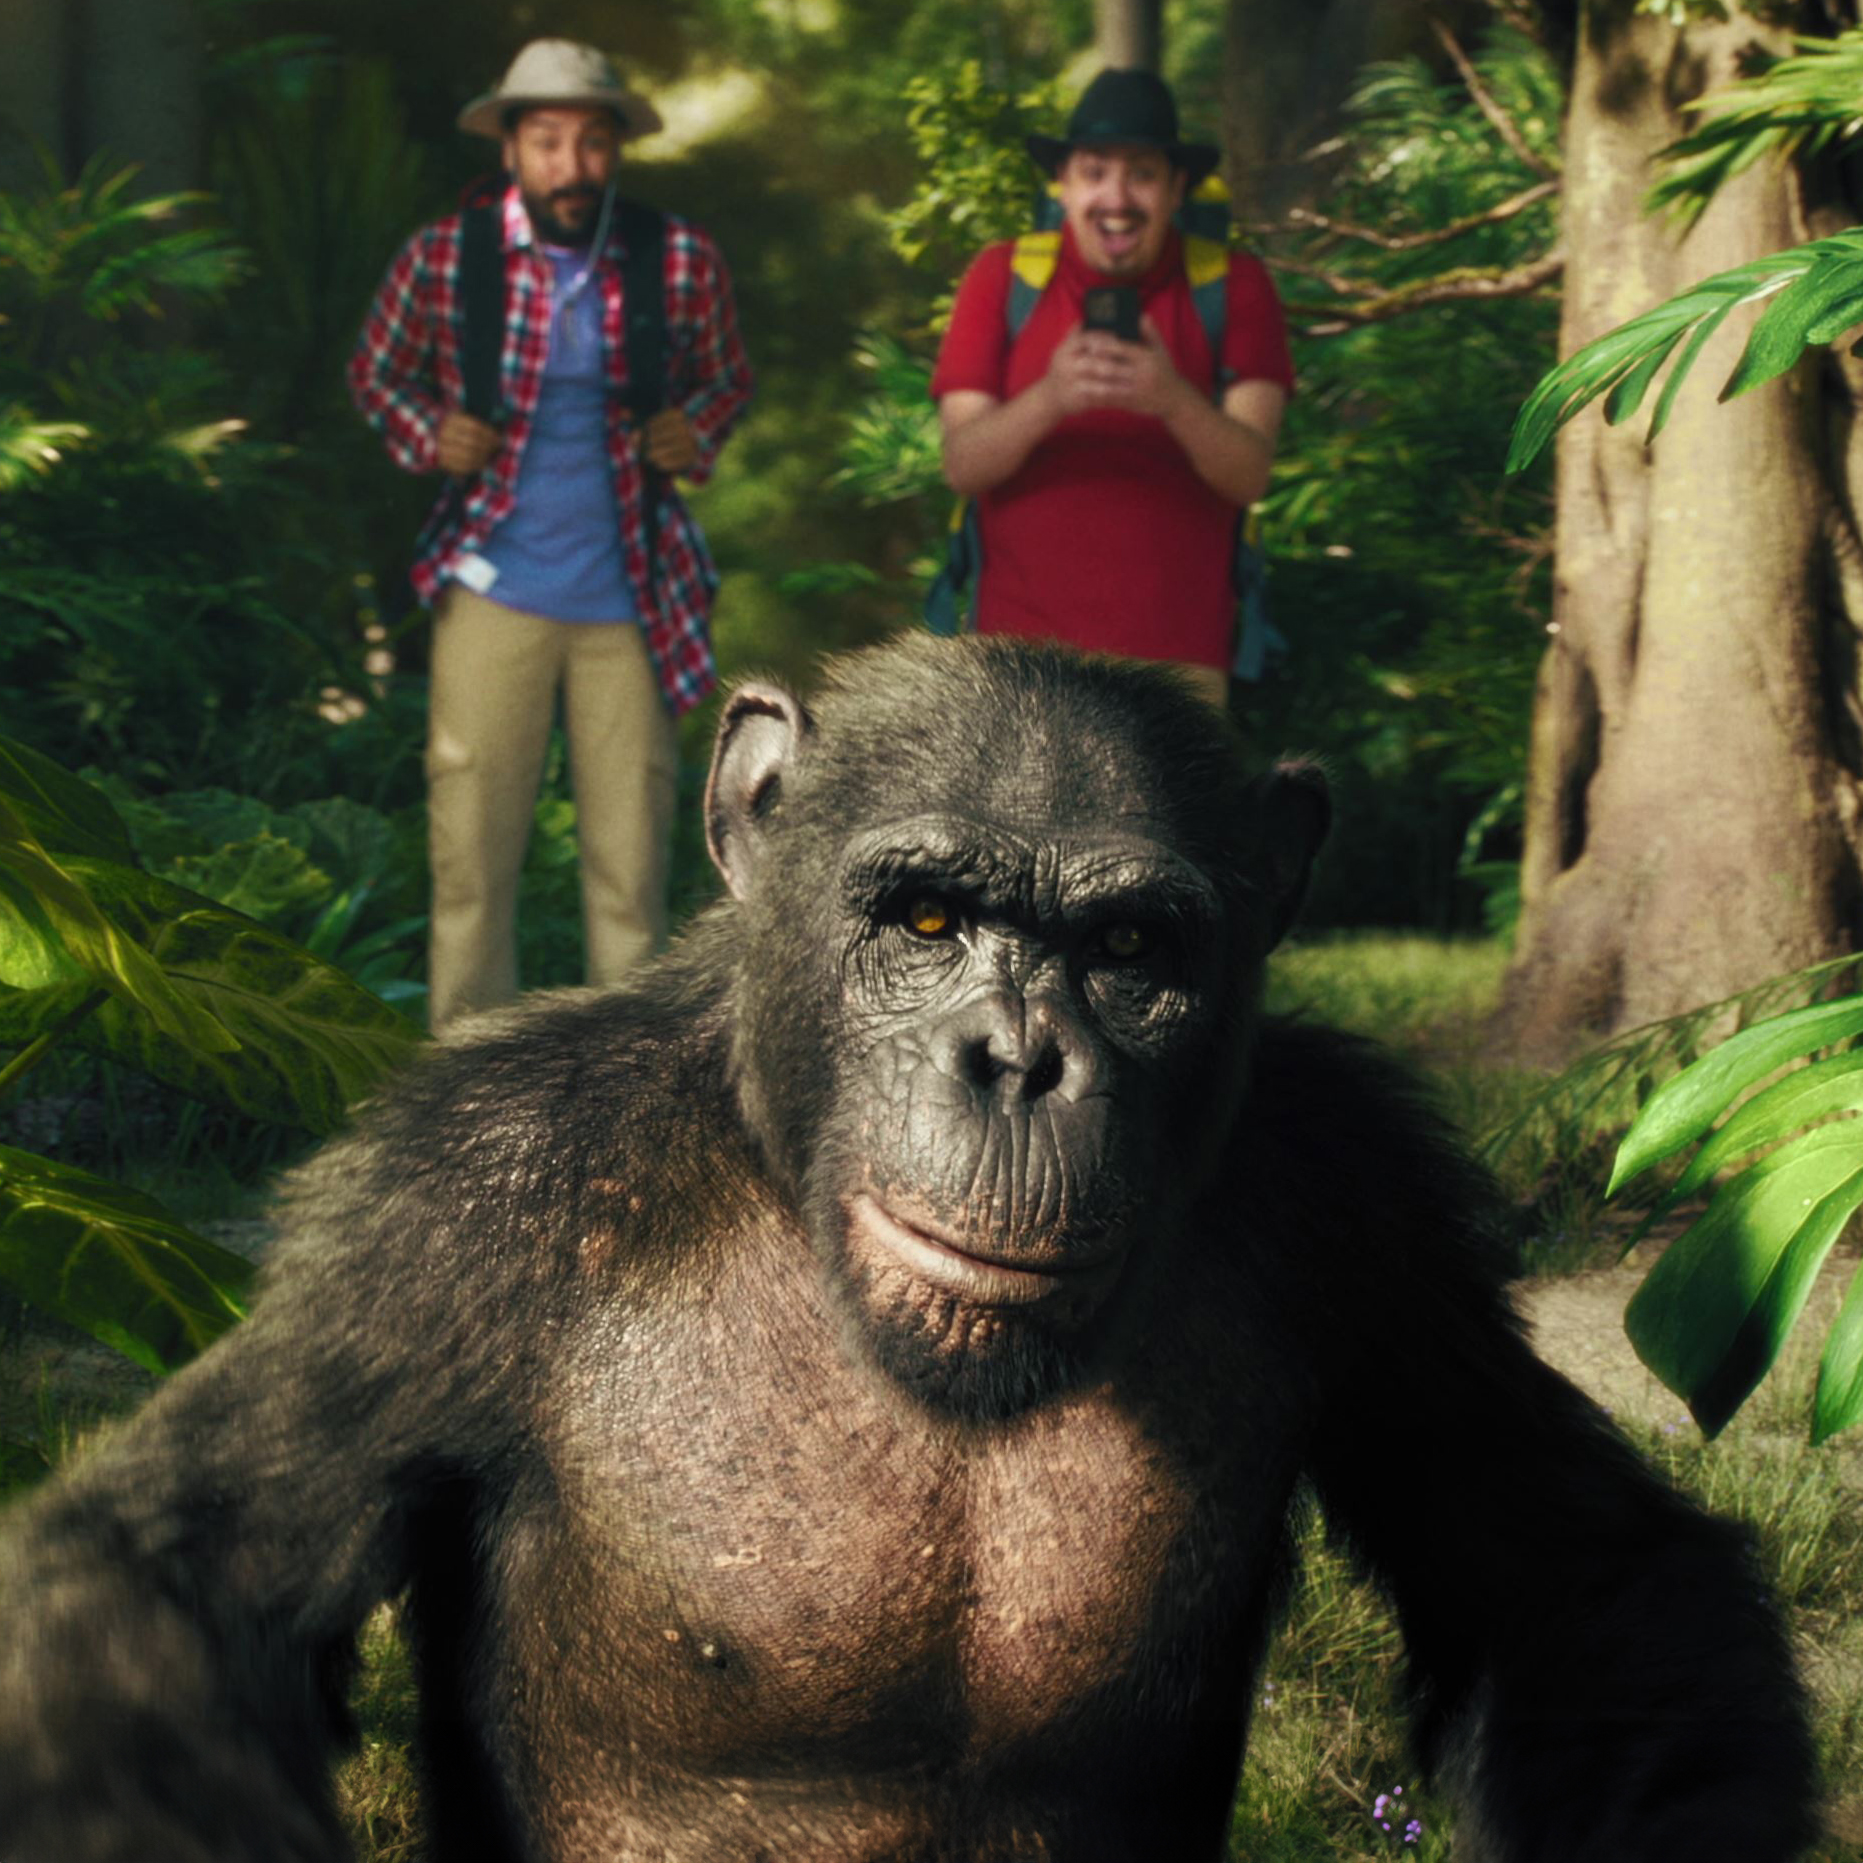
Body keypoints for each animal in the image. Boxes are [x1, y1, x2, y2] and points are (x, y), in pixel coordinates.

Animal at [0, 635, 1815, 1861]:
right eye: (929, 919)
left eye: (1129, 947)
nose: (1017, 1058)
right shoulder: (453, 1203)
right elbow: (169, 1577)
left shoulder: (1366, 1202)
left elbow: (1578, 1575)